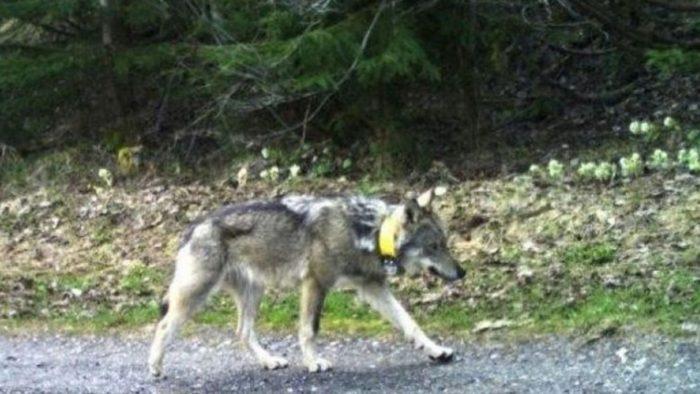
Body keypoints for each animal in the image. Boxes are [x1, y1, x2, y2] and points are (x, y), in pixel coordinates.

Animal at [148, 189, 464, 378]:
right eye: (434, 246)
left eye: (445, 244)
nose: (462, 273)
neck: (367, 232)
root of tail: (193, 226)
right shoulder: (316, 283)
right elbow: (309, 330)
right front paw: (313, 363)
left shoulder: (373, 288)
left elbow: (410, 323)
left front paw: (436, 350)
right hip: (196, 296)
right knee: (163, 326)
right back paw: (156, 367)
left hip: (253, 293)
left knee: (242, 332)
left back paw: (269, 361)